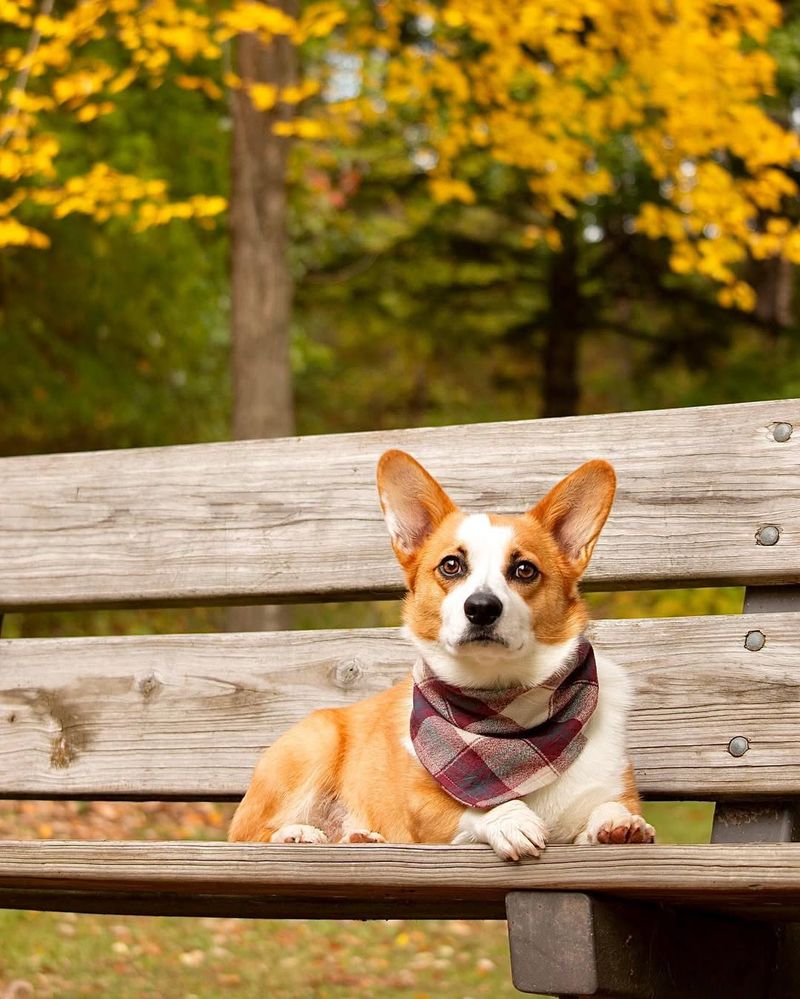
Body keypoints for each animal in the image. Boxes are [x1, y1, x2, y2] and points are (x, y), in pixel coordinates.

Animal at [228, 452, 652, 860]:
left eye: (524, 569)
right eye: (451, 565)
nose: (481, 608)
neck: (501, 712)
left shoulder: (611, 787)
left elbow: (611, 806)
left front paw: (621, 826)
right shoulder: (422, 805)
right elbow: (474, 807)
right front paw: (511, 818)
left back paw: (359, 836)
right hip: (313, 744)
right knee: (247, 832)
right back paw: (297, 833)